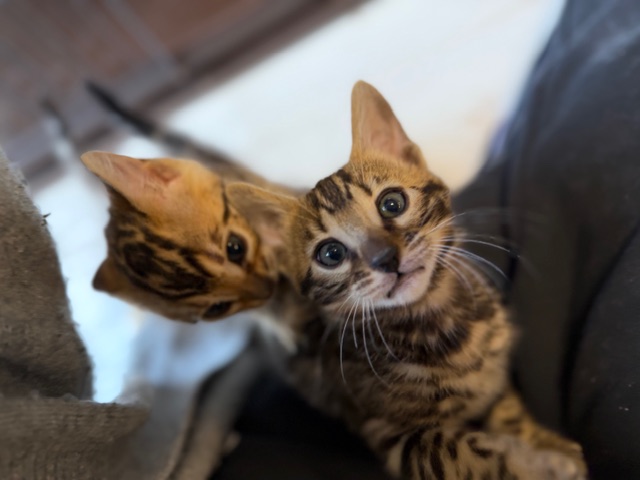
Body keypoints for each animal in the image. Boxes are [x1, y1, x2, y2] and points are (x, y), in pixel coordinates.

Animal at [225, 81, 587, 480]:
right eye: (330, 254)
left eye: (392, 203)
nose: (385, 258)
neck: (440, 323)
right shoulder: (392, 434)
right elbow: (464, 452)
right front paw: (539, 465)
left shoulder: (494, 379)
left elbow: (509, 413)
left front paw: (546, 444)